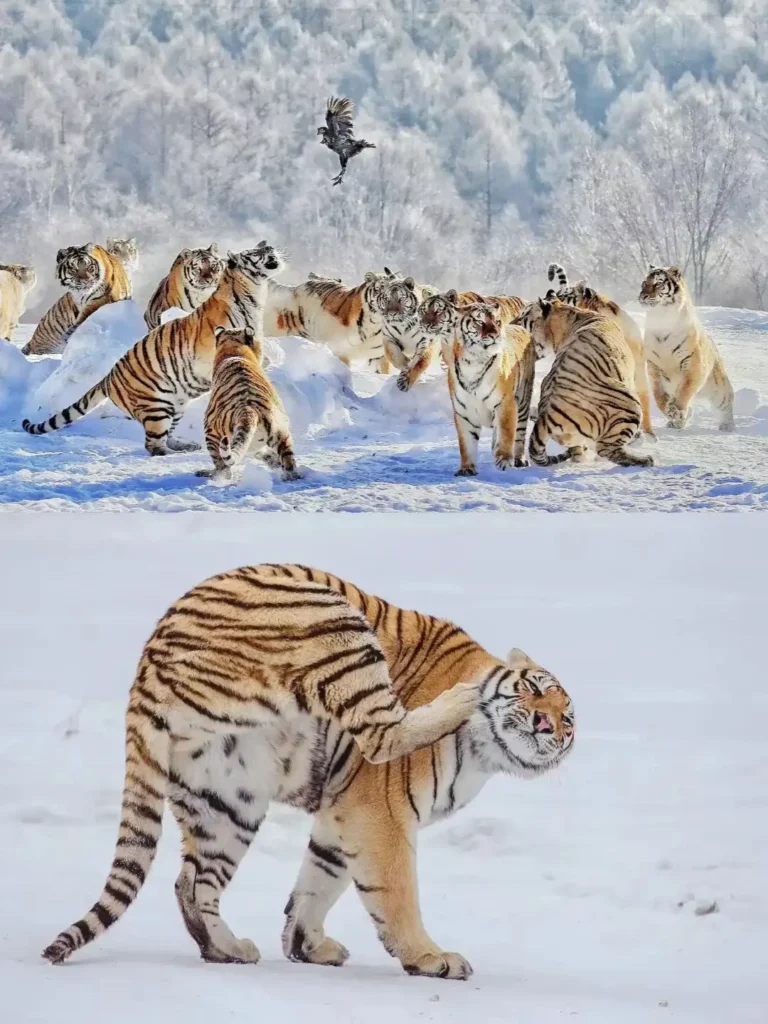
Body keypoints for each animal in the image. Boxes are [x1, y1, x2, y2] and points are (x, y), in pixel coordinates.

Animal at [22, 244, 285, 456]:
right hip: (156, 409)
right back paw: (172, 454)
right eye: (254, 252)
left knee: (166, 436)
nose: (270, 247)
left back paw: (185, 445)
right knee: (154, 445)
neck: (253, 296)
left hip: (176, 404)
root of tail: (108, 377)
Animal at [40, 562, 574, 981]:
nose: (546, 724)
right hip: (332, 622)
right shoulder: (378, 811)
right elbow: (394, 890)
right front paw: (429, 958)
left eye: (568, 720)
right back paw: (461, 699)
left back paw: (227, 949)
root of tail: (149, 660)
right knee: (383, 732)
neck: (488, 754)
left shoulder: (344, 810)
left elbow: (320, 879)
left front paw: (306, 945)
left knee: (192, 883)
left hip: (228, 799)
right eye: (533, 688)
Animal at [197, 326, 301, 484]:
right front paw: (273, 462)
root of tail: (248, 410)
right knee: (288, 461)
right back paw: (290, 476)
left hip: (211, 431)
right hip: (280, 432)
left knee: (223, 467)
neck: (232, 347)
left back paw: (214, 476)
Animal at [515, 297, 654, 468]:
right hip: (630, 404)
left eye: (522, 316)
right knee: (607, 449)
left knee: (580, 452)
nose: (509, 324)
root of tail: (545, 418)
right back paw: (643, 457)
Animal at [639, 264, 734, 431]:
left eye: (658, 284)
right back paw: (677, 422)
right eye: (644, 283)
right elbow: (658, 395)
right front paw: (670, 411)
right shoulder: (653, 366)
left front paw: (676, 410)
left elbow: (685, 390)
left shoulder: (692, 364)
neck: (661, 318)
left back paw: (727, 426)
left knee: (727, 403)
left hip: (719, 389)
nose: (642, 296)